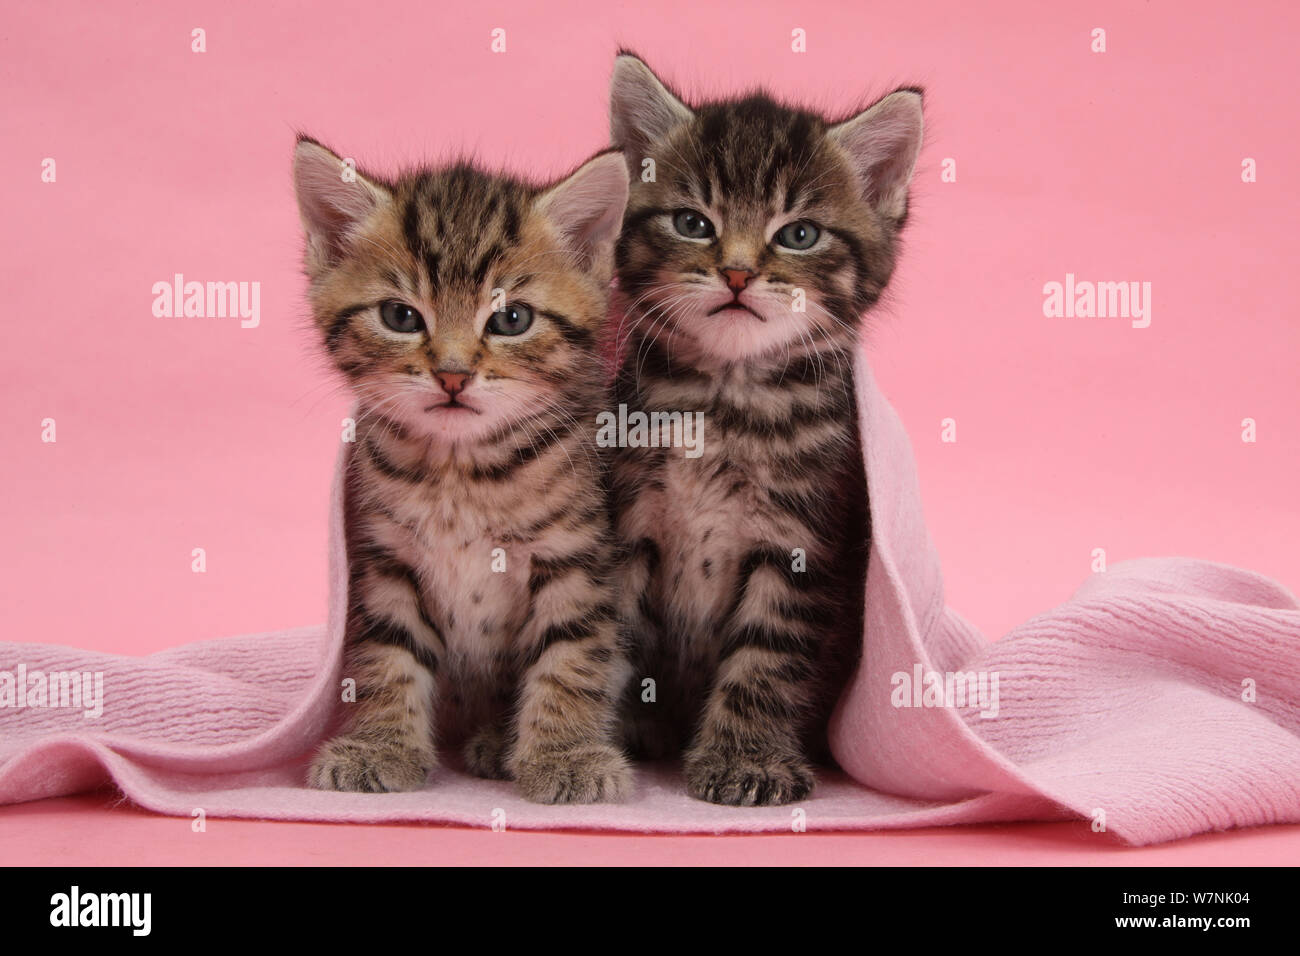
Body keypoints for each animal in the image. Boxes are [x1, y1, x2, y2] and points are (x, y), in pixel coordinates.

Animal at [297, 134, 634, 806]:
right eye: (401, 317)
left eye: (511, 320)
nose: (452, 375)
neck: (460, 472)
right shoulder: (388, 559)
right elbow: (387, 653)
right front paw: (380, 746)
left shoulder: (575, 556)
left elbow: (571, 656)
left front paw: (567, 757)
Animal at [603, 54, 920, 806]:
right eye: (692, 222)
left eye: (798, 234)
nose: (739, 272)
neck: (726, 401)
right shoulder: (628, 525)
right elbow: (612, 634)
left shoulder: (804, 544)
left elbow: (768, 659)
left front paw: (746, 758)